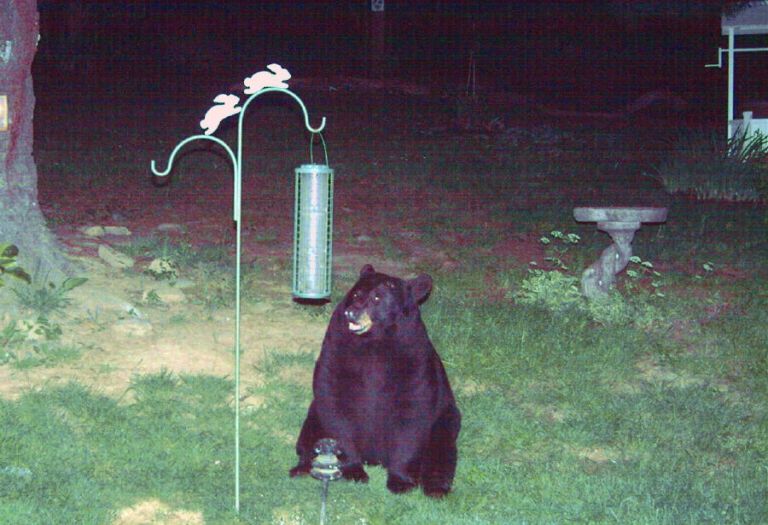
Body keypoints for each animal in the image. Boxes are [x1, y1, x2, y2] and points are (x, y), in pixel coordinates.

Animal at [289, 264, 461, 498]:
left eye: (378, 297)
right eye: (356, 294)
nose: (351, 313)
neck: (374, 342)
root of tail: (375, 459)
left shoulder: (413, 356)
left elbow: (412, 412)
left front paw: (401, 481)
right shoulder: (336, 348)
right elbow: (335, 398)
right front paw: (354, 471)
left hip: (445, 418)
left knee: (440, 450)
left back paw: (435, 488)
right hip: (315, 415)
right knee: (308, 437)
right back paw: (302, 467)